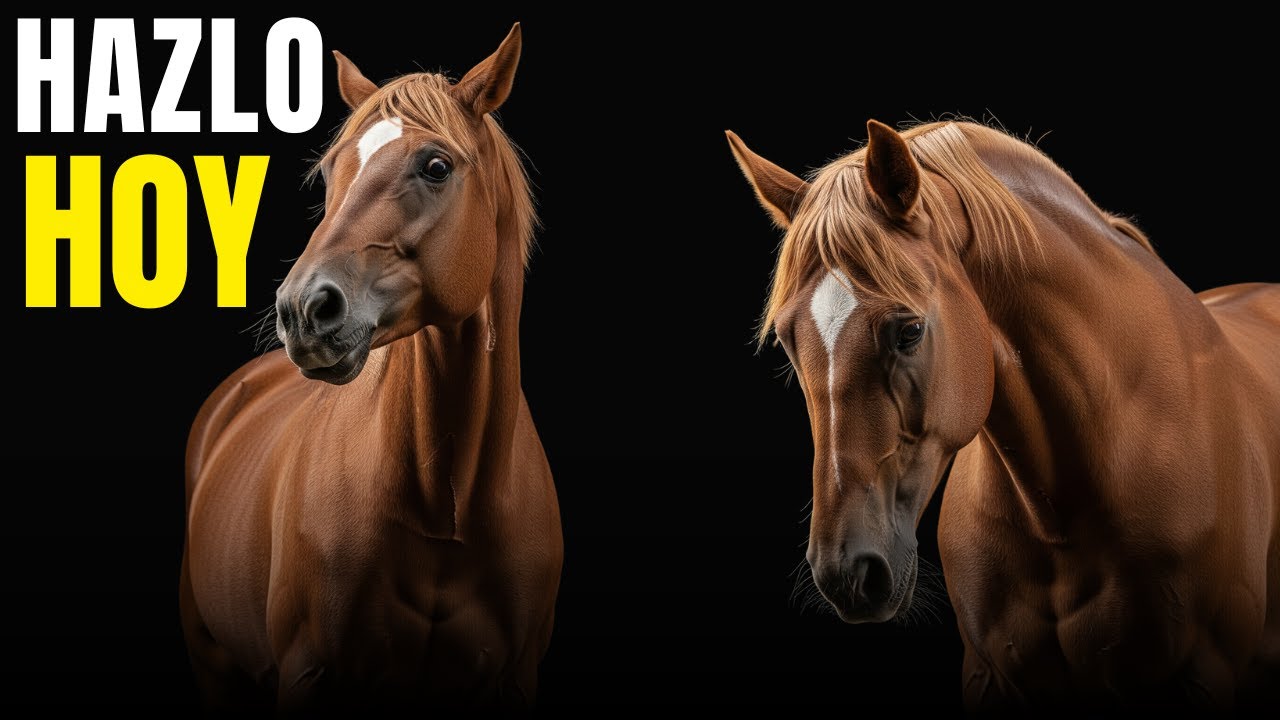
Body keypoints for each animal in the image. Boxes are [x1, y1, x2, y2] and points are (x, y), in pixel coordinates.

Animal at [180, 25, 562, 710]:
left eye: (436, 166)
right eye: (333, 170)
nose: (303, 309)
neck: (445, 506)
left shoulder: (516, 677)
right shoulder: (307, 674)